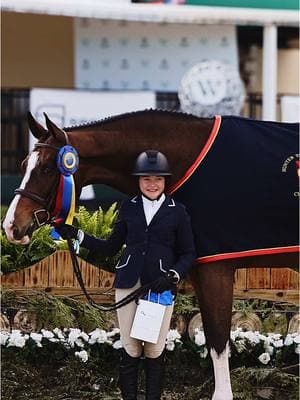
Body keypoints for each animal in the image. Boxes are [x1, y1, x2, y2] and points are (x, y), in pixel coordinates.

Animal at [3, 110, 298, 400]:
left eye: (46, 168)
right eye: (23, 165)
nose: (11, 226)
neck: (191, 158)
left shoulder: (216, 269)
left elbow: (217, 340)